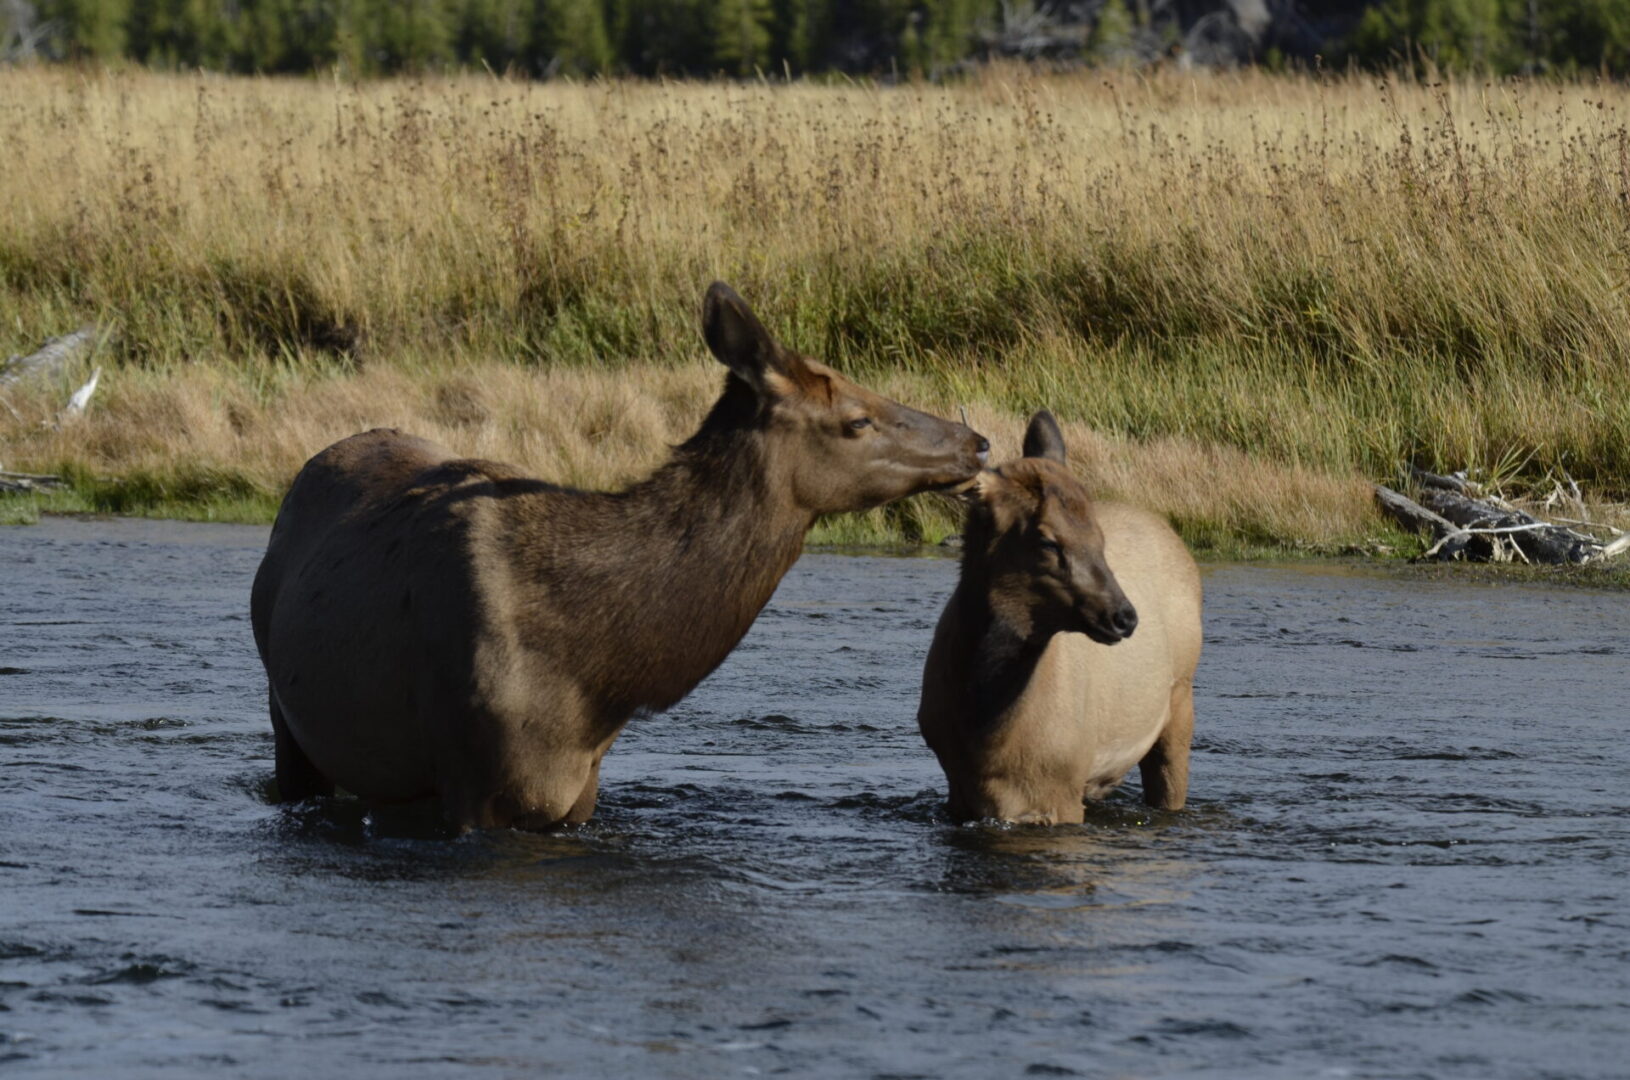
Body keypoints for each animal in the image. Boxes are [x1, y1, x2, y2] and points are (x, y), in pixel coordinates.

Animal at [252, 283, 984, 830]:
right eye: (856, 418)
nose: (975, 441)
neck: (601, 673)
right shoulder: (469, 781)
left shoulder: (581, 788)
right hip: (286, 718)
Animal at [925, 410, 1206, 824]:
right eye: (1047, 541)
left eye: (1099, 538)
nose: (1124, 616)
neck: (988, 732)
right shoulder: (957, 788)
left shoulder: (1062, 788)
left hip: (1180, 698)